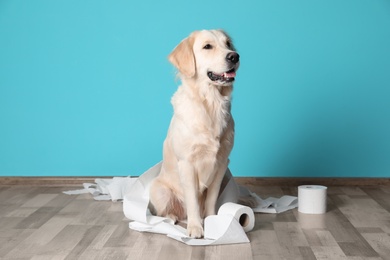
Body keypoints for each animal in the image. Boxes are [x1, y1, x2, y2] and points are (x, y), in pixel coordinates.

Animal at [149, 29, 239, 238]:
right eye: (207, 46)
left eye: (228, 44)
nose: (235, 56)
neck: (211, 103)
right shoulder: (187, 164)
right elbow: (192, 201)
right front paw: (196, 228)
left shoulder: (222, 163)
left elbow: (211, 198)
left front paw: (213, 221)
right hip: (159, 190)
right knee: (164, 212)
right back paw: (172, 217)